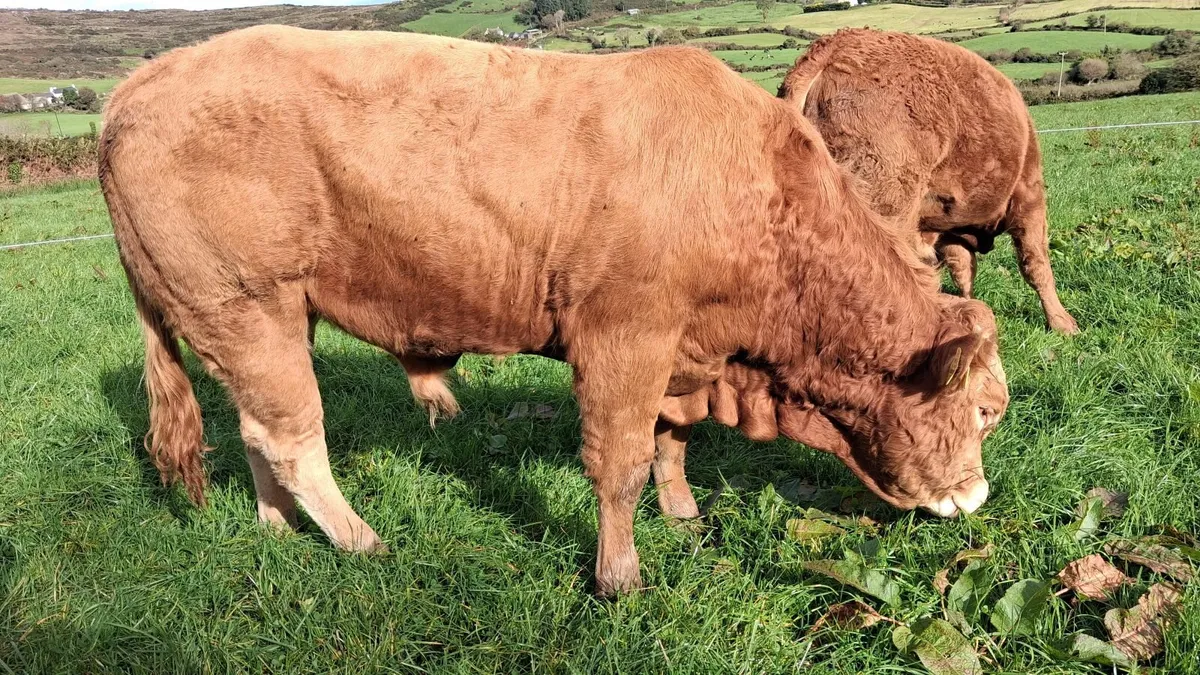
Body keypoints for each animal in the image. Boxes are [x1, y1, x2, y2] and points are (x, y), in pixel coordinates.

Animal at [99, 26, 1008, 596]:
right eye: (984, 410)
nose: (978, 498)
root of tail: (138, 85)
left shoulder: (678, 348)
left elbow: (669, 441)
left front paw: (683, 515)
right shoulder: (623, 335)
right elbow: (620, 461)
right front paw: (620, 577)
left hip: (263, 317)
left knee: (254, 429)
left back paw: (279, 530)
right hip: (246, 305)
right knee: (291, 438)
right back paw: (362, 540)